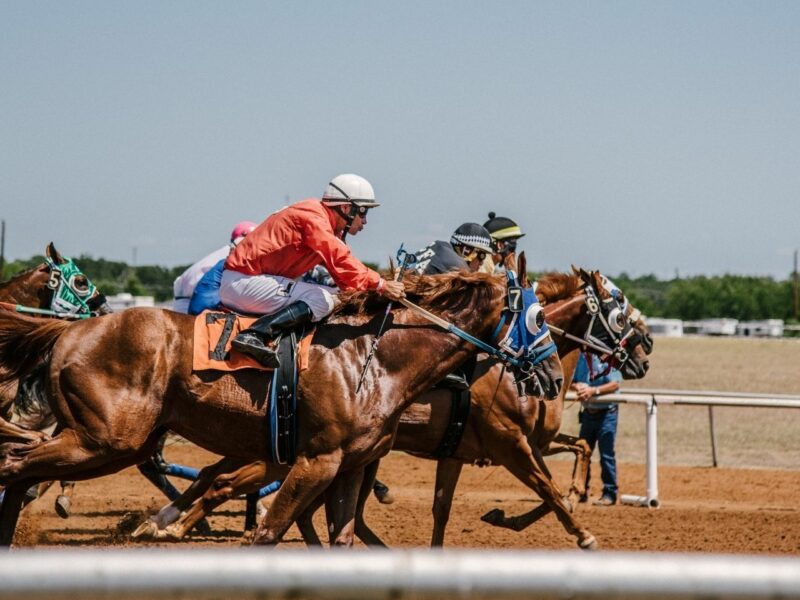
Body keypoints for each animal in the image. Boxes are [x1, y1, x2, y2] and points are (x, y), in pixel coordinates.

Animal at [0, 263, 560, 546]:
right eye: (537, 317)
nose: (555, 377)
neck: (374, 359)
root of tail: (70, 330)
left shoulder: (349, 466)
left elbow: (341, 540)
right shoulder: (316, 460)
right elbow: (268, 532)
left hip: (112, 443)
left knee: (24, 471)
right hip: (106, 441)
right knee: (17, 464)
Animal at [132, 264, 649, 549]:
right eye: (620, 307)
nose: (643, 354)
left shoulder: (467, 451)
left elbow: (447, 507)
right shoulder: (509, 442)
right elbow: (549, 489)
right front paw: (580, 531)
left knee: (227, 481)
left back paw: (164, 523)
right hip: (285, 452)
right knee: (226, 483)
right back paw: (168, 525)